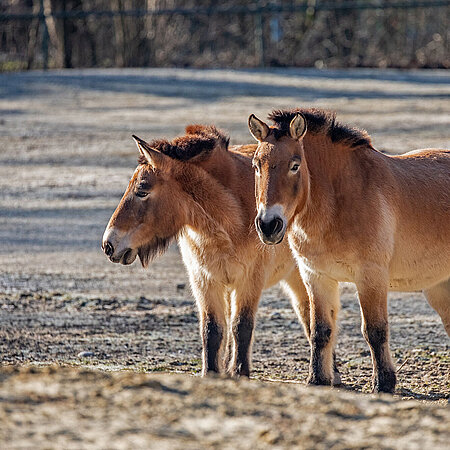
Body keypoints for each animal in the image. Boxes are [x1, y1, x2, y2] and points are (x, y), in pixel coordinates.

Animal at [102, 125, 314, 380]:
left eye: (142, 191)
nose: (108, 244)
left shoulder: (250, 280)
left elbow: (241, 326)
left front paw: (240, 373)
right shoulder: (204, 280)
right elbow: (212, 330)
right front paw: (211, 372)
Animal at [248, 109, 448, 394]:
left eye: (295, 165)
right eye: (256, 165)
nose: (268, 225)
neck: (338, 202)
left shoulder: (370, 276)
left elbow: (374, 330)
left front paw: (383, 383)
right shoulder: (316, 277)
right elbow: (320, 331)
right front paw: (318, 379)